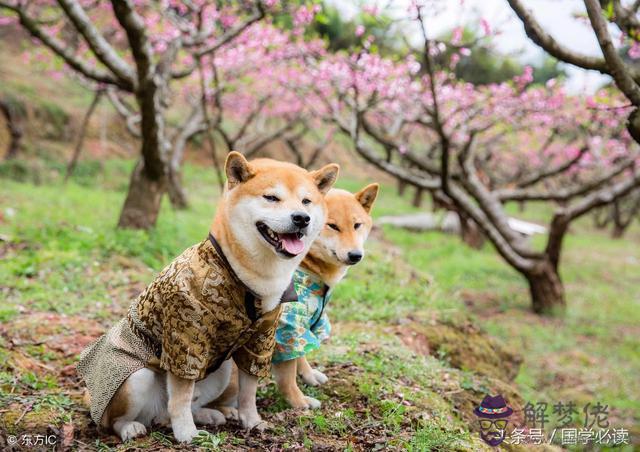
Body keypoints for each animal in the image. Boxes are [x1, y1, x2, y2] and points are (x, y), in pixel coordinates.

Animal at [76, 152, 340, 442]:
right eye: (271, 198)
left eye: (306, 201)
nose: (301, 218)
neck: (241, 274)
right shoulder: (185, 338)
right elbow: (180, 398)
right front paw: (186, 434)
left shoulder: (260, 339)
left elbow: (248, 393)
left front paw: (252, 422)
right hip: (135, 378)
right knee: (117, 420)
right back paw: (131, 427)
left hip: (222, 370)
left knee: (175, 409)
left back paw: (210, 415)